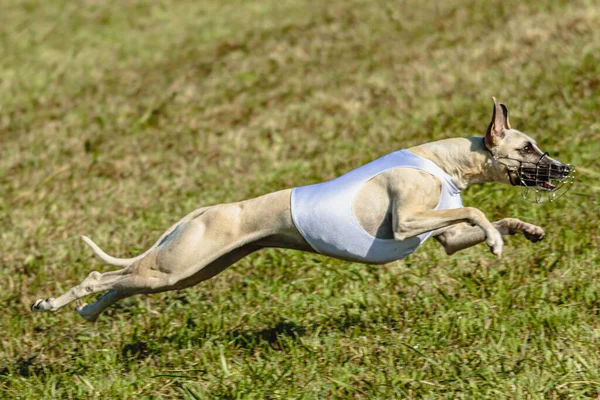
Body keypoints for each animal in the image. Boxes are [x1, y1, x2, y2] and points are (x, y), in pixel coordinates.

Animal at [30, 99, 576, 322]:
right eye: (528, 147)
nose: (565, 168)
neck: (443, 162)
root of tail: (203, 210)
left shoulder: (441, 237)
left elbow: (482, 221)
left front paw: (526, 229)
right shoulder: (405, 222)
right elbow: (479, 214)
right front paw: (498, 240)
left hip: (189, 271)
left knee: (122, 285)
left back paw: (86, 313)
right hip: (179, 265)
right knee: (102, 277)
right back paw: (54, 303)